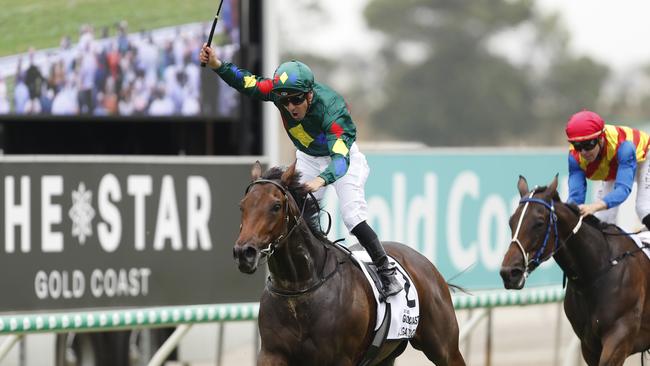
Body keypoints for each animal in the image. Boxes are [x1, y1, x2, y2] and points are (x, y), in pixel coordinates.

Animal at [232, 163, 460, 366]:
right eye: (242, 205)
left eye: (276, 206)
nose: (244, 253)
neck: (300, 287)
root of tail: (425, 263)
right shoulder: (272, 353)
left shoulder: (340, 359)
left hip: (445, 349)